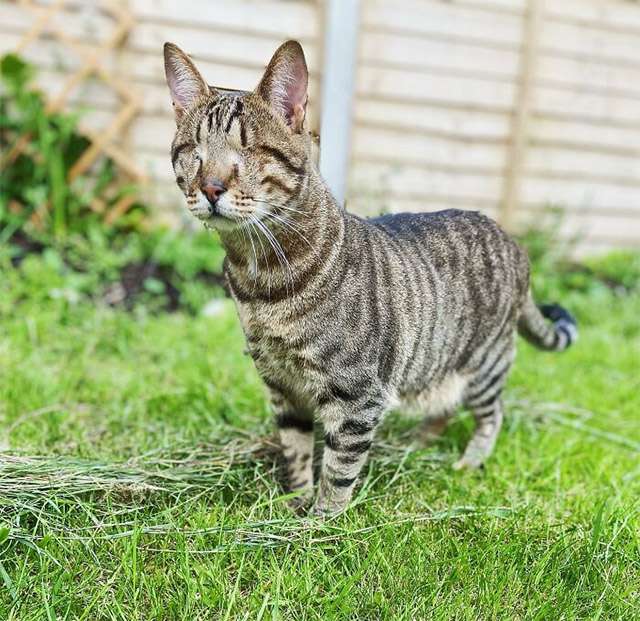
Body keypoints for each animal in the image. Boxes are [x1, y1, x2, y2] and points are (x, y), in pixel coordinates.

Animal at [163, 40, 577, 515]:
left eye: (249, 151)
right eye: (193, 150)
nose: (210, 187)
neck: (262, 279)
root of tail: (514, 243)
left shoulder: (356, 397)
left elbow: (339, 470)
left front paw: (320, 523)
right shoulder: (282, 386)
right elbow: (296, 452)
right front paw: (294, 505)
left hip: (484, 363)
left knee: (493, 413)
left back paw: (469, 462)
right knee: (446, 404)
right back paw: (419, 442)